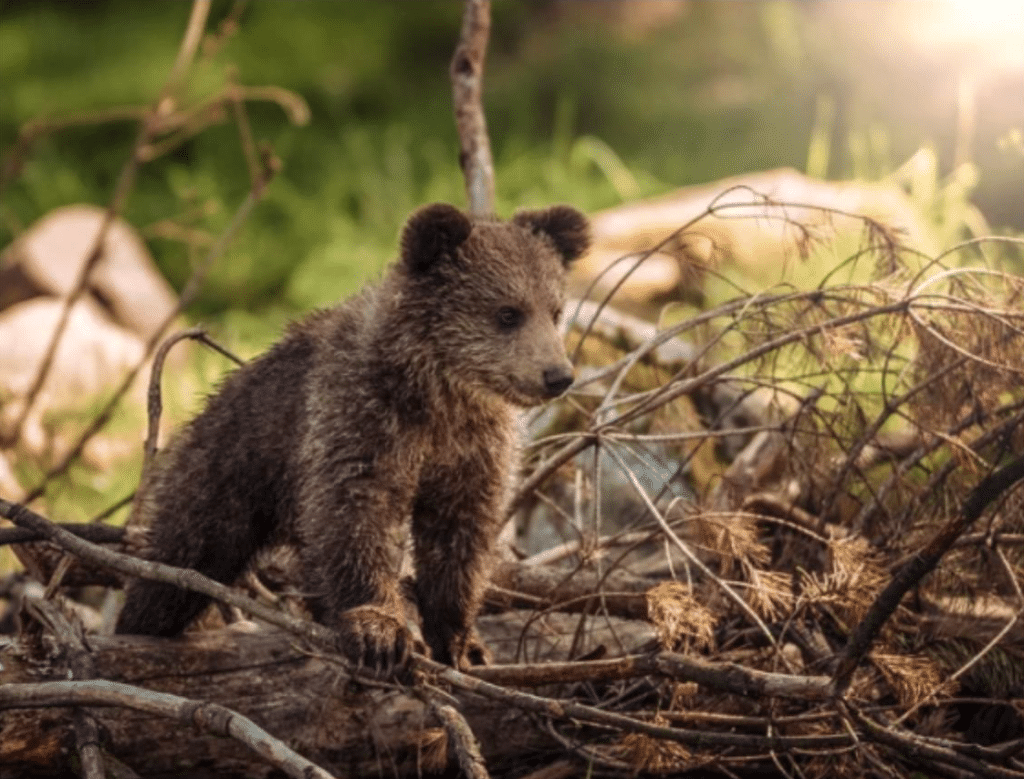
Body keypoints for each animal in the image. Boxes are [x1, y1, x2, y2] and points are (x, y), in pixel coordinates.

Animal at [115, 202, 590, 671]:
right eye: (507, 313)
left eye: (555, 311)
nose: (557, 375)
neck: (438, 395)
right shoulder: (359, 421)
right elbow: (355, 518)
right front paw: (380, 631)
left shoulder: (471, 450)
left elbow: (459, 537)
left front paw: (462, 642)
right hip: (227, 471)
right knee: (180, 561)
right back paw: (139, 625)